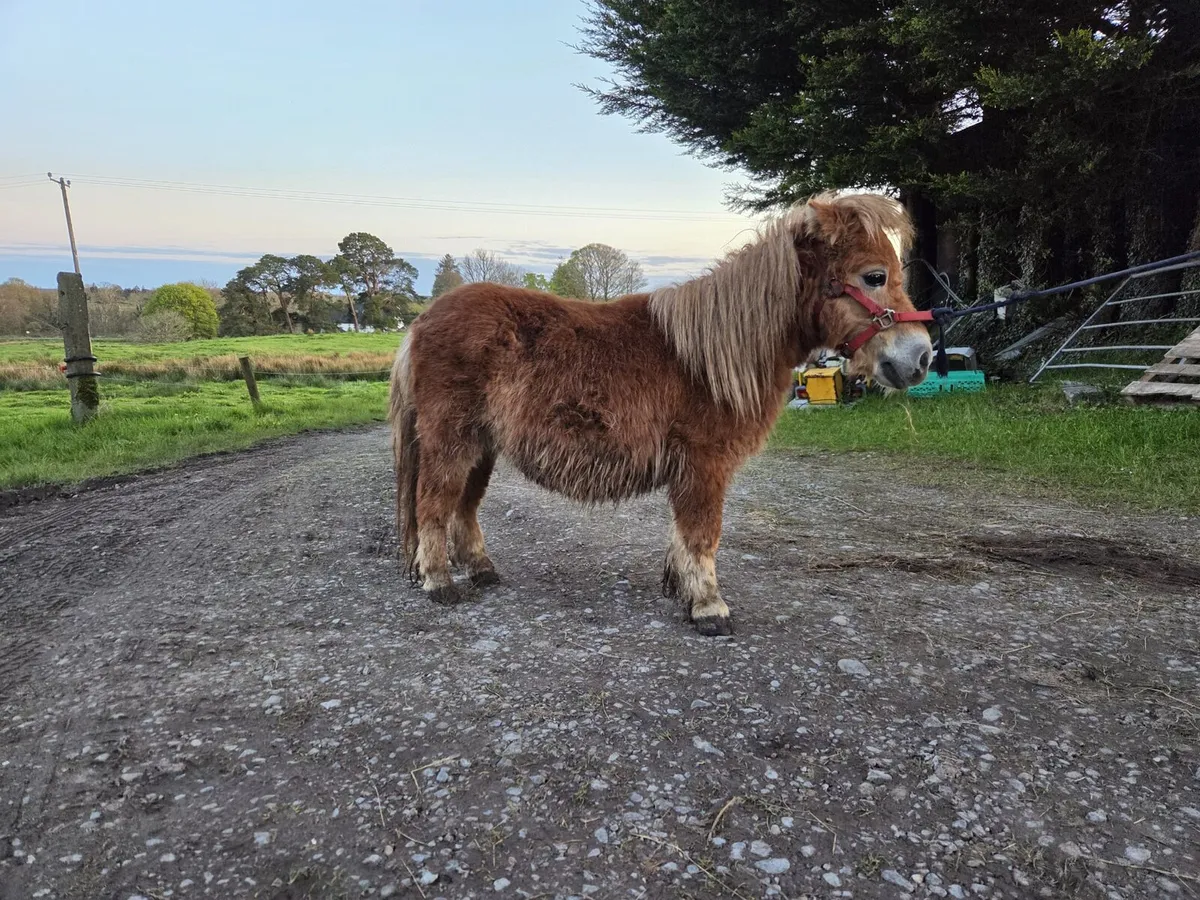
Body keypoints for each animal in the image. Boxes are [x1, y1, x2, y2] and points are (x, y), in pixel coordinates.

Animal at [388, 191, 933, 636]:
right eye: (874, 277)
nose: (921, 357)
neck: (714, 355)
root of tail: (421, 322)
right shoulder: (704, 463)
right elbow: (703, 534)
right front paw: (709, 608)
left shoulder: (692, 468)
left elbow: (684, 534)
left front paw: (682, 589)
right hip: (451, 440)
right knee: (433, 504)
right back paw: (439, 582)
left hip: (482, 445)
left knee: (464, 507)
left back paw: (481, 571)